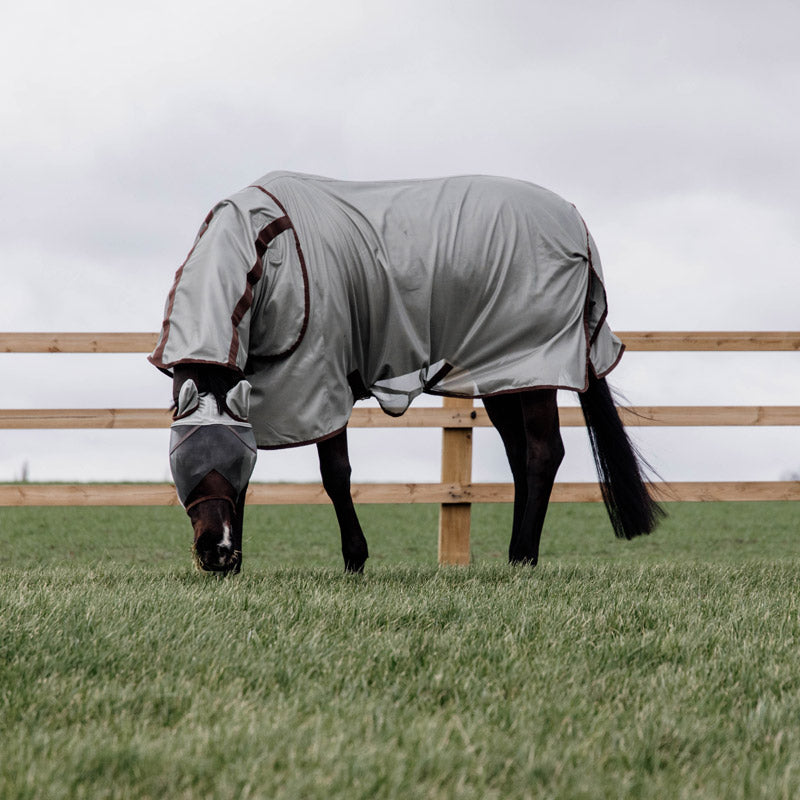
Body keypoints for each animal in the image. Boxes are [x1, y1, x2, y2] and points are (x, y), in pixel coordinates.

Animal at [152, 172, 664, 572]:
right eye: (185, 460)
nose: (216, 554)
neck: (269, 255)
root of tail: (576, 221)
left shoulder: (321, 378)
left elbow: (335, 474)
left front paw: (355, 559)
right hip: (506, 376)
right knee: (520, 455)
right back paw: (517, 556)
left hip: (536, 368)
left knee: (543, 452)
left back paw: (523, 556)